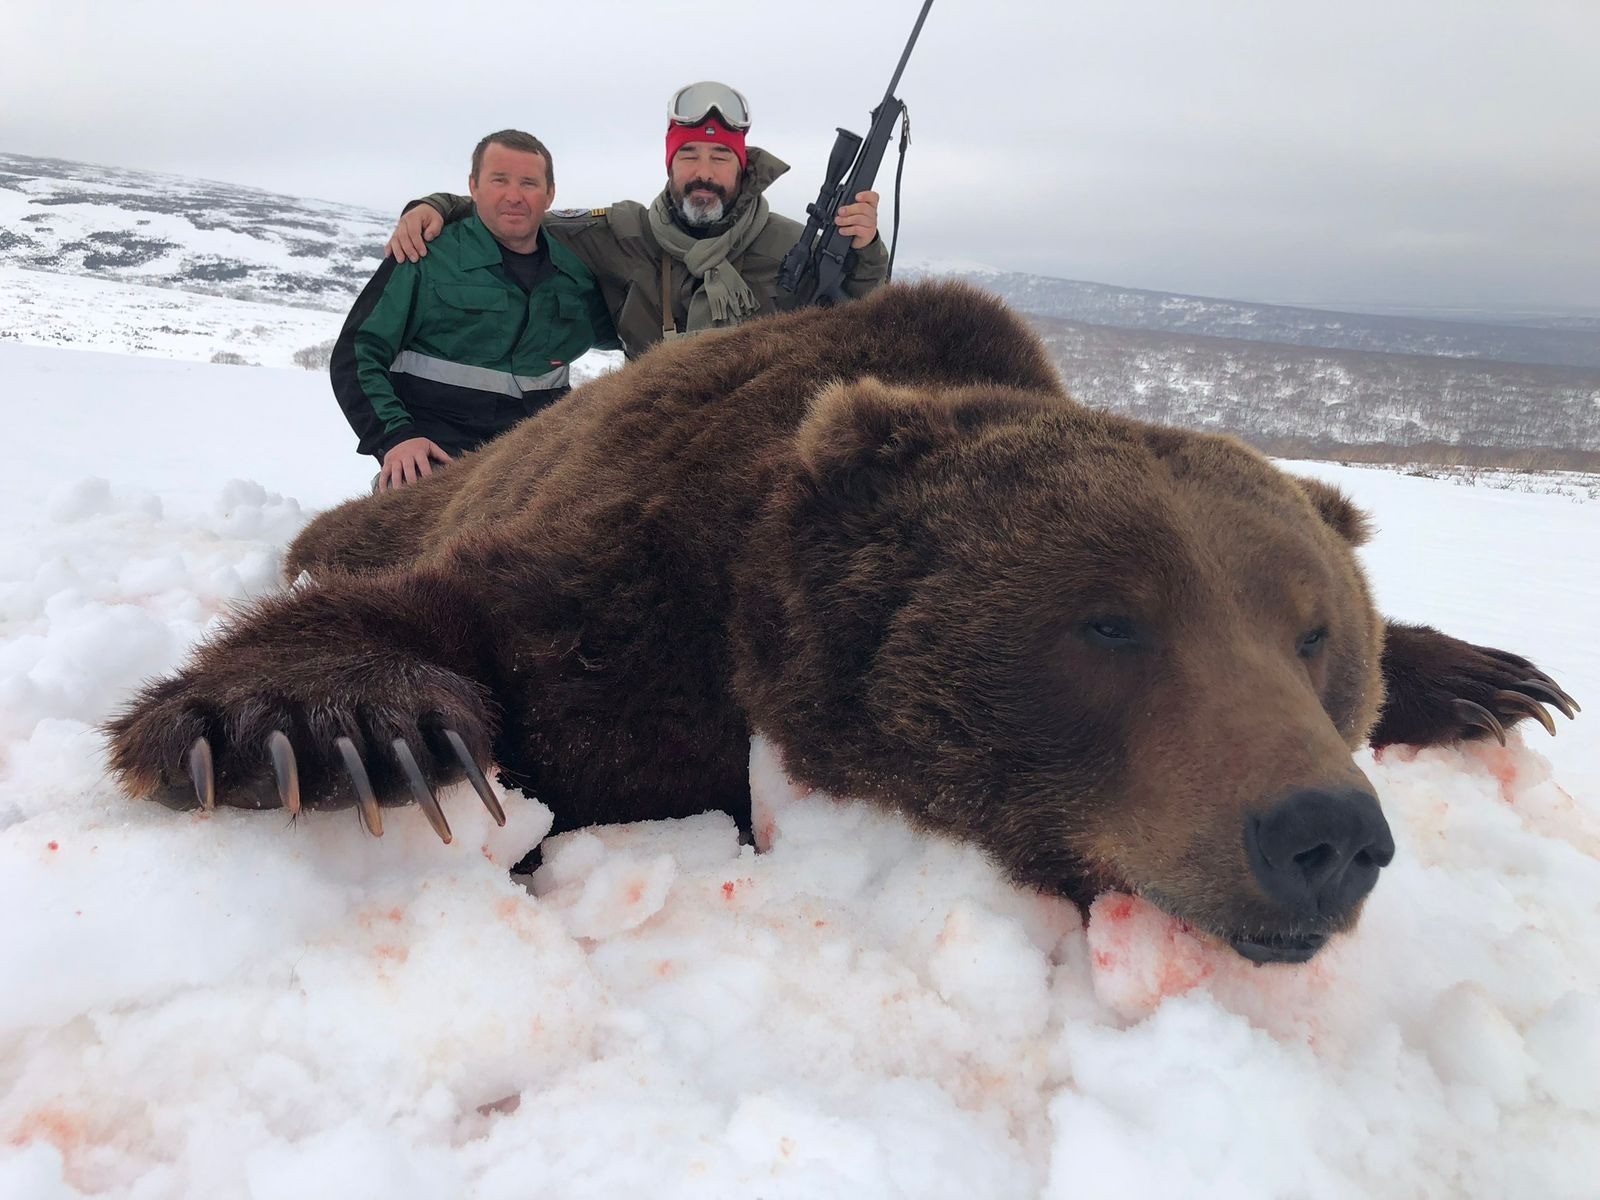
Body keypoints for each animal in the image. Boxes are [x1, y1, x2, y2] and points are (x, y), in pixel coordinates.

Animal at [105, 281, 1577, 965]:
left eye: (1314, 636)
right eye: (1110, 623)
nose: (1322, 832)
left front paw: (1490, 675)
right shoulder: (625, 590)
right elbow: (445, 629)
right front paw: (334, 728)